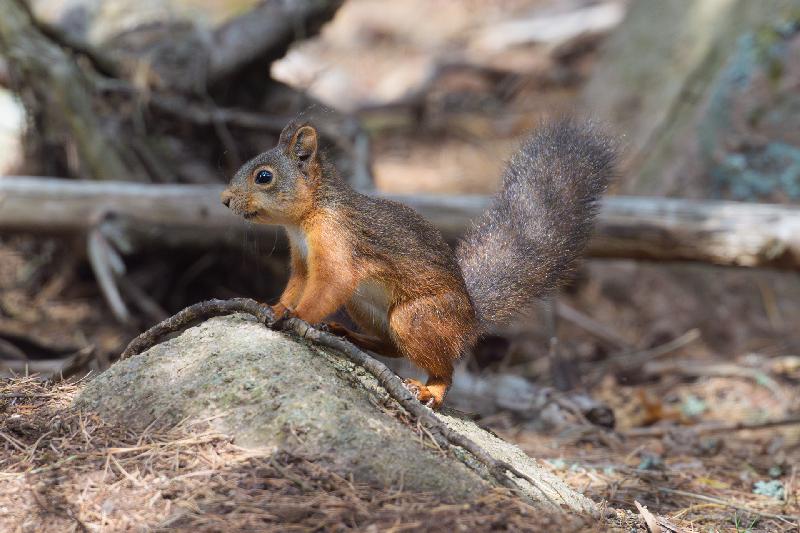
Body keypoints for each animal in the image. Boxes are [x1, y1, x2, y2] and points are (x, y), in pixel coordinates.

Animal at [221, 118, 616, 409]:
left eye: (264, 176)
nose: (224, 200)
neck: (308, 215)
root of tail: (470, 319)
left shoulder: (338, 243)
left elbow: (329, 284)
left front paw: (297, 316)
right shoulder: (302, 261)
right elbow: (296, 285)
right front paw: (275, 307)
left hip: (417, 317)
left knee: (444, 368)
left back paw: (431, 391)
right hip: (365, 306)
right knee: (393, 346)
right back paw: (348, 335)